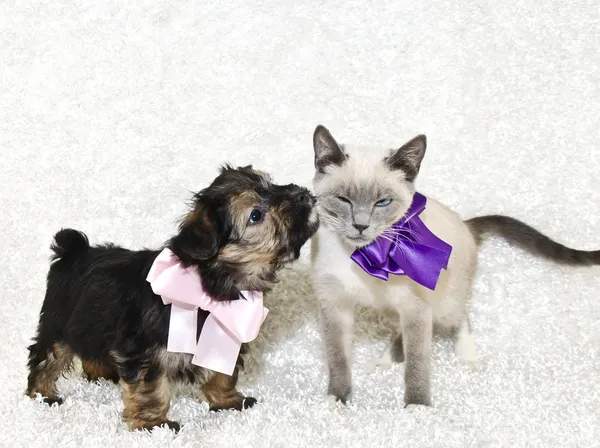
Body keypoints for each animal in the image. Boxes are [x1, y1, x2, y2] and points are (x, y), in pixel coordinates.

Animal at [25, 164, 318, 430]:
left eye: (271, 183)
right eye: (256, 215)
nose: (303, 195)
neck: (208, 287)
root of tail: (74, 251)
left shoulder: (224, 336)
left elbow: (222, 372)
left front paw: (227, 400)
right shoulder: (147, 352)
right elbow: (151, 387)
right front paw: (153, 423)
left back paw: (101, 374)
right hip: (57, 323)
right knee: (47, 355)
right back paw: (43, 394)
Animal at [312, 125, 600, 406]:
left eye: (382, 203)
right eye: (344, 200)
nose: (360, 226)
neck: (362, 255)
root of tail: (466, 224)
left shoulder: (416, 307)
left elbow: (417, 364)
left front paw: (417, 407)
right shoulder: (335, 306)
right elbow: (338, 360)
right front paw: (336, 401)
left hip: (442, 304)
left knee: (460, 319)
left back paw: (466, 359)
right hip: (399, 307)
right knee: (400, 332)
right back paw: (383, 362)